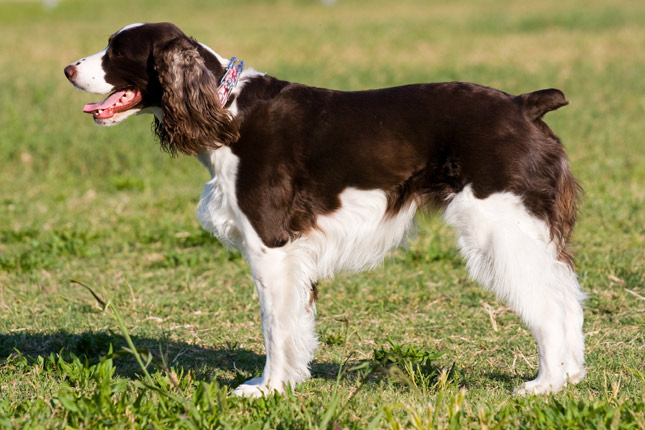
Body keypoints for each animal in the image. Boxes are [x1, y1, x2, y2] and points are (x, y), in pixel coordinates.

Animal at [64, 21, 584, 394]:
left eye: (116, 51)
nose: (68, 69)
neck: (227, 111)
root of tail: (523, 104)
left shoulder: (271, 247)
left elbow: (274, 326)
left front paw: (269, 389)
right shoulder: (293, 256)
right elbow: (295, 325)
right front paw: (283, 382)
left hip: (498, 227)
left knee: (547, 306)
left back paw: (545, 385)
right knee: (567, 298)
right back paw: (570, 376)